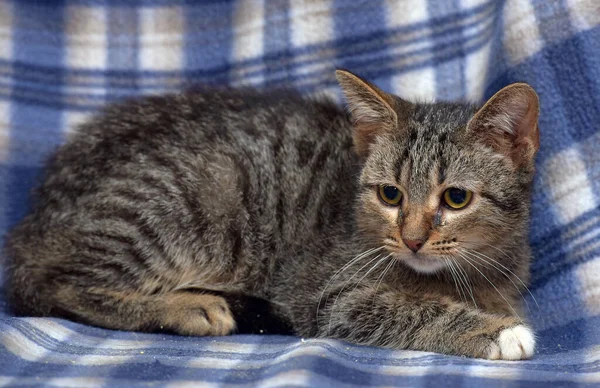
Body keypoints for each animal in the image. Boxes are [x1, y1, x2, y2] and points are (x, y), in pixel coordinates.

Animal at [2, 69, 540, 360]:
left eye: (455, 199)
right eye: (391, 194)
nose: (411, 238)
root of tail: (36, 218)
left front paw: (496, 315)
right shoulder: (328, 294)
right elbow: (409, 309)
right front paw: (494, 331)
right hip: (178, 206)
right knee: (57, 285)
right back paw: (188, 306)